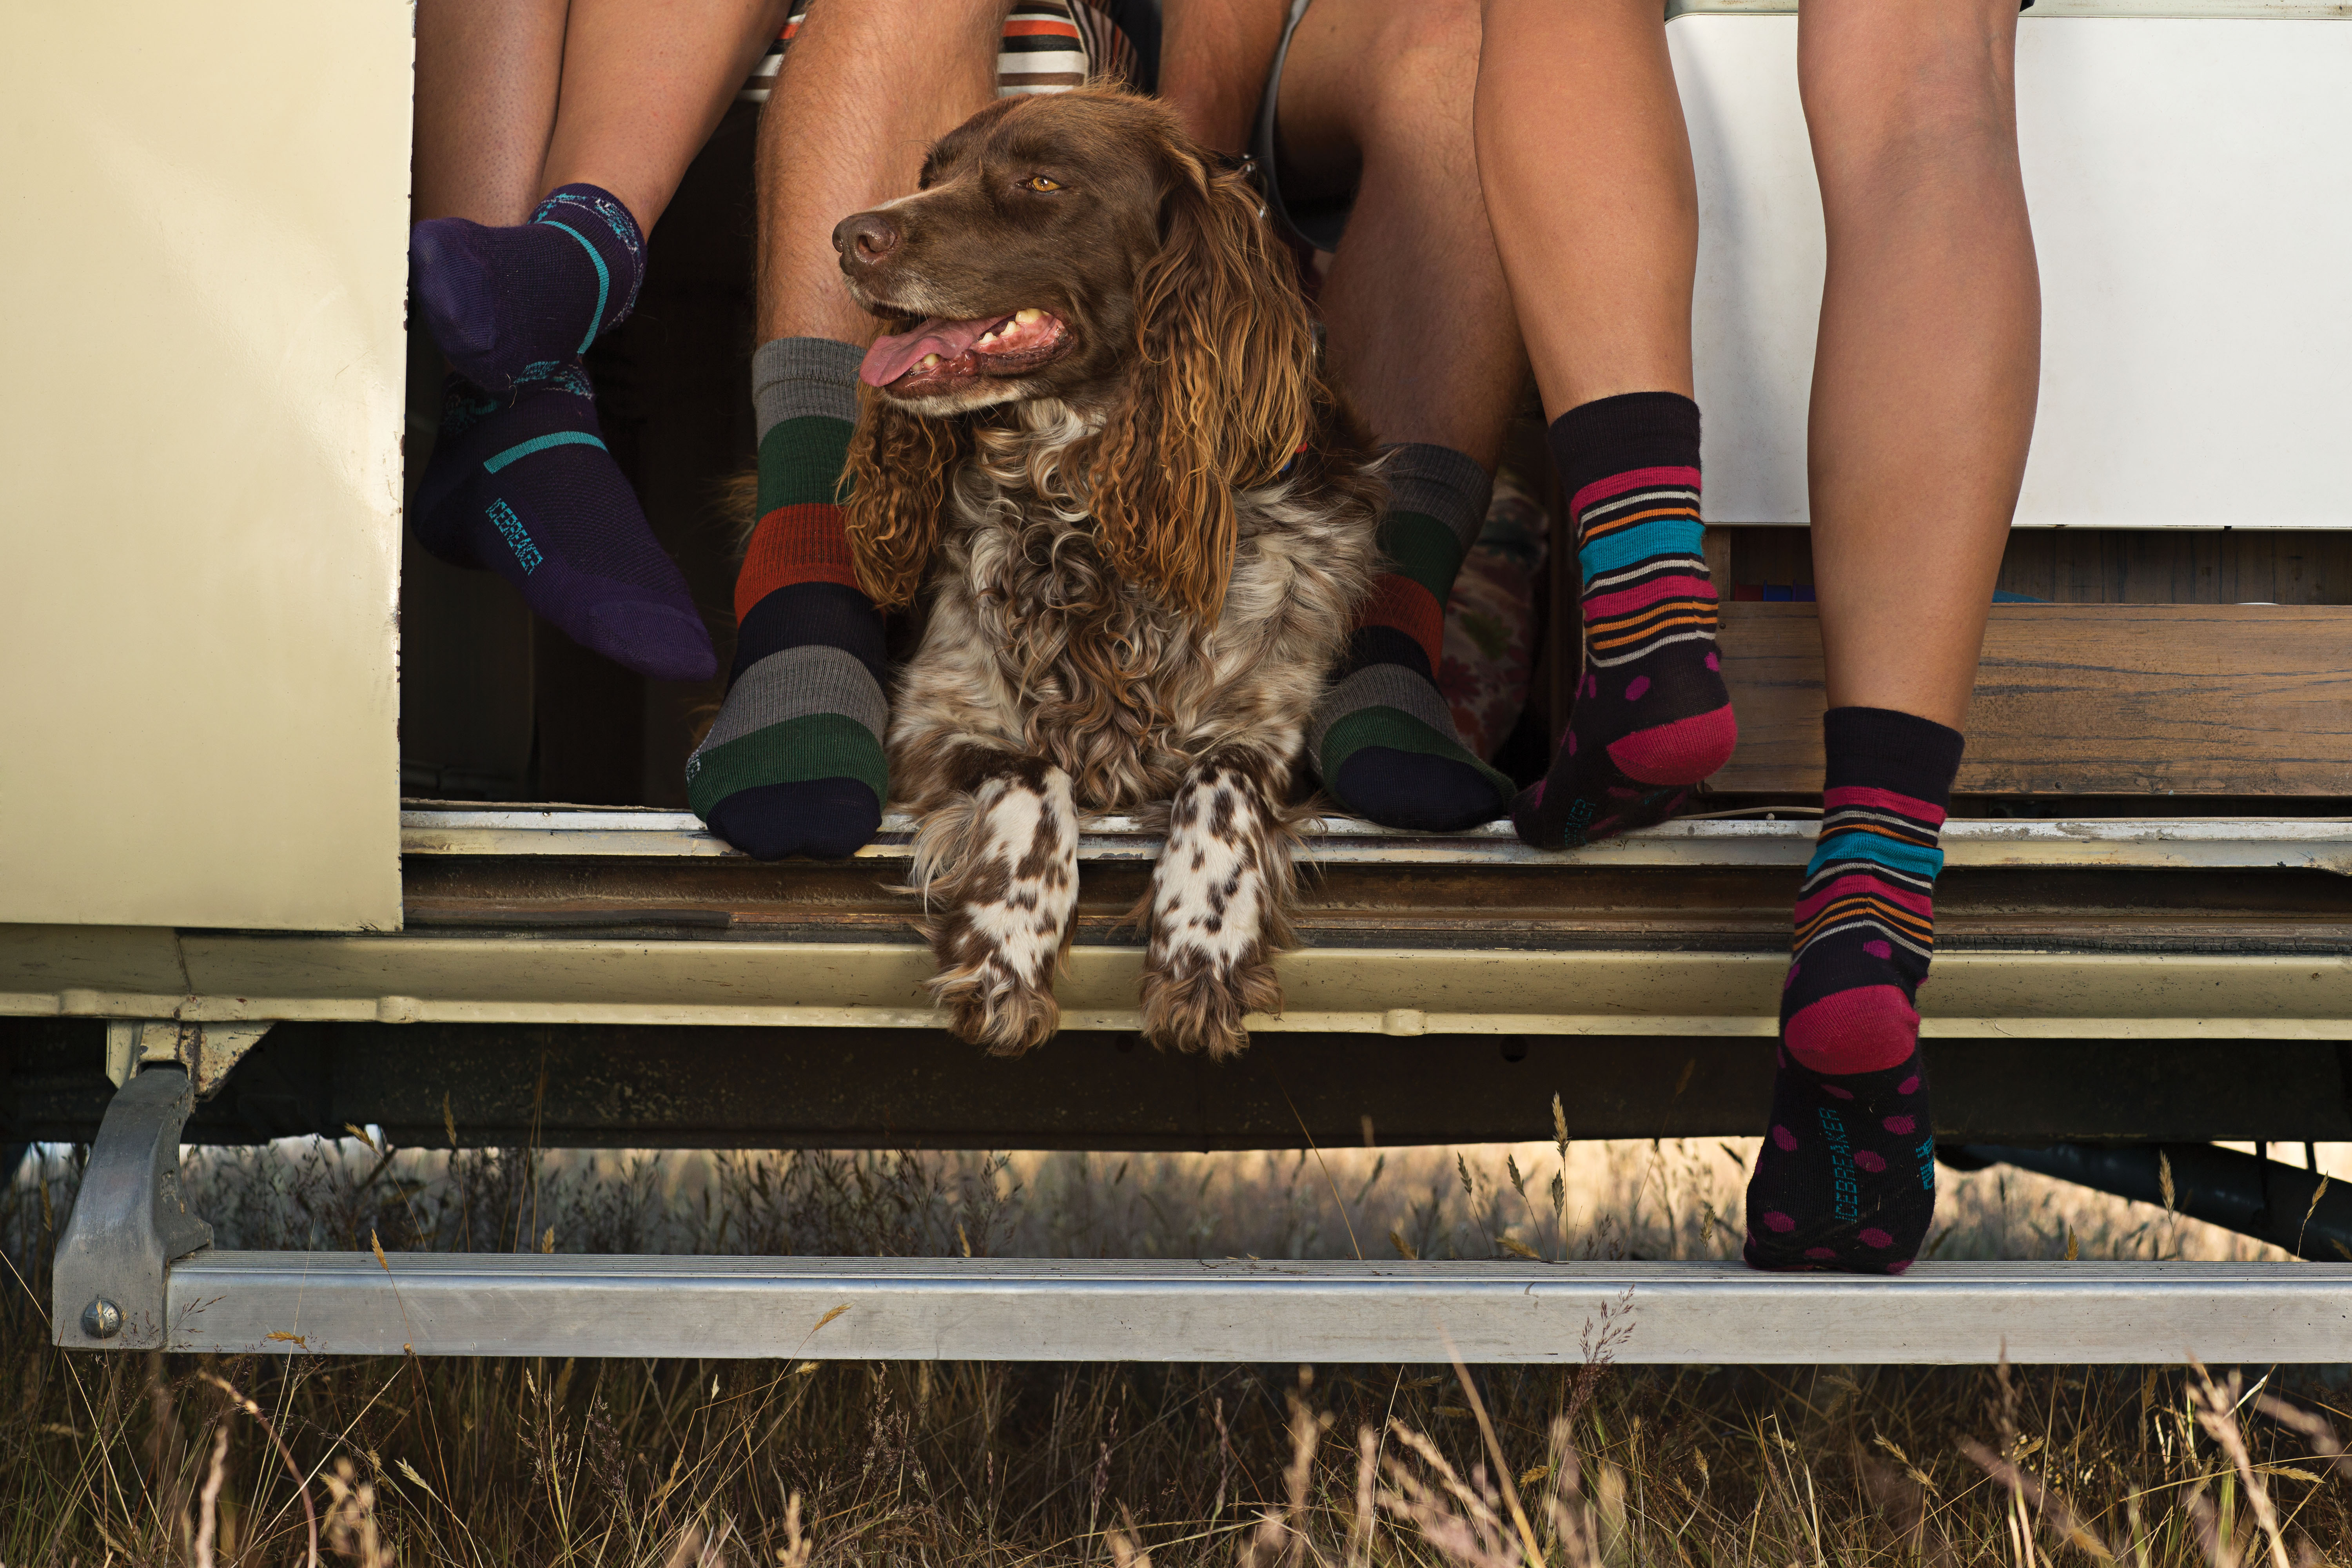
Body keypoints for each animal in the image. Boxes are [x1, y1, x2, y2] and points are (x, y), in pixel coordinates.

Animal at [828, 89, 1374, 1067]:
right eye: (934, 172)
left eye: (1043, 182)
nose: (853, 235)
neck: (1084, 506)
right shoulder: (938, 718)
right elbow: (1032, 780)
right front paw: (1007, 948)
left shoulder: (1268, 721)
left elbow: (1222, 787)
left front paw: (1203, 946)